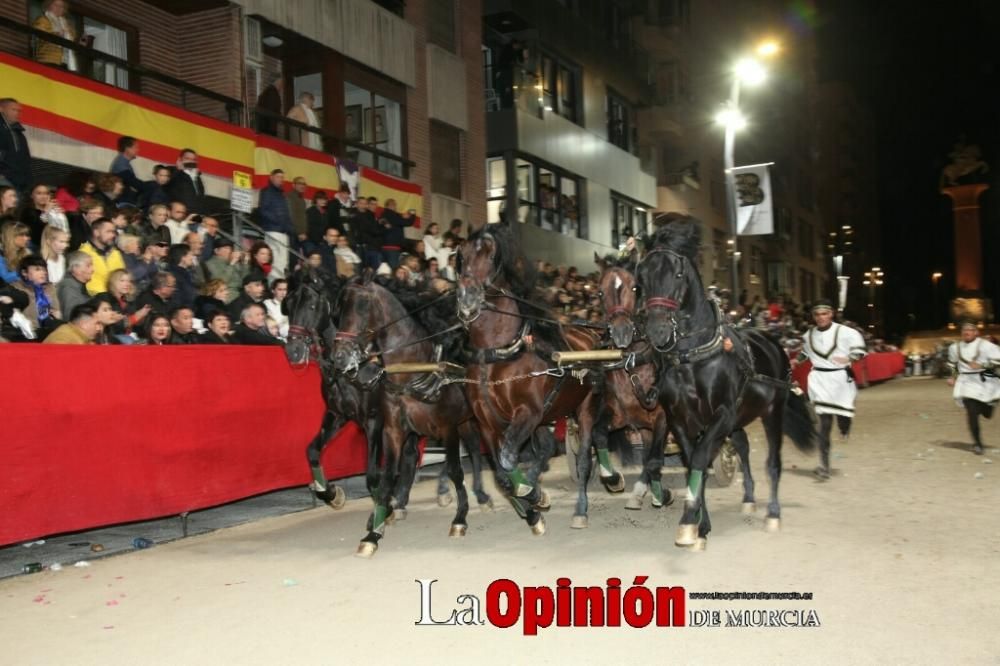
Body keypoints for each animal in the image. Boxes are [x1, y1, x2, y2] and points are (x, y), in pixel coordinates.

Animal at [456, 223, 600, 536]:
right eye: (460, 255)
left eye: (491, 255)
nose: (467, 298)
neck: (496, 353)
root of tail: (589, 334)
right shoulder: (487, 422)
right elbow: (501, 473)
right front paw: (532, 506)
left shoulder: (526, 412)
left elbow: (509, 457)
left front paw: (531, 494)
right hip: (546, 415)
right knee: (545, 448)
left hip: (584, 407)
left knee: (584, 459)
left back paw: (581, 510)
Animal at [636, 215, 816, 548]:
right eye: (640, 276)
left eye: (677, 273)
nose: (657, 332)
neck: (692, 359)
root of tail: (773, 342)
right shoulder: (681, 420)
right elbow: (695, 464)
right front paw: (700, 524)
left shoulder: (721, 414)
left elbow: (700, 460)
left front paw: (688, 521)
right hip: (740, 418)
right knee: (743, 447)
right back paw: (748, 498)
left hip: (772, 413)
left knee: (773, 462)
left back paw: (773, 514)